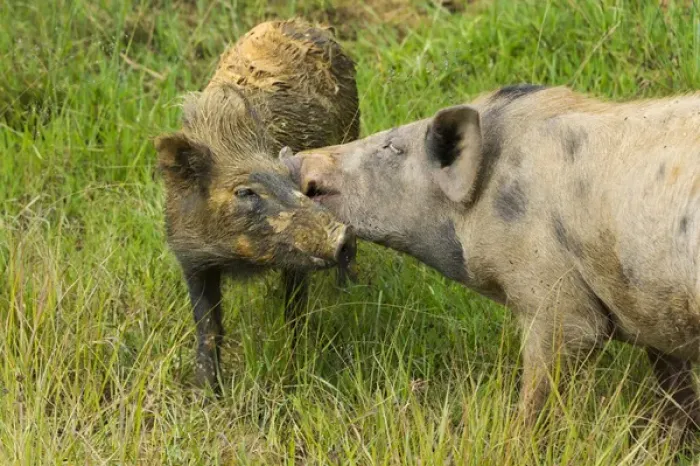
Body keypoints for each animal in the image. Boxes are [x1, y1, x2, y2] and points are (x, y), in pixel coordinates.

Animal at [154, 19, 360, 393]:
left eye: (291, 178)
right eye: (244, 192)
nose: (343, 235)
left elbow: (294, 312)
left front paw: (294, 371)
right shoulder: (191, 258)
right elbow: (208, 328)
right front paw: (205, 393)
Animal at [288, 84, 700, 438]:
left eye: (391, 148)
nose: (297, 158)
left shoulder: (550, 291)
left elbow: (543, 385)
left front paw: (516, 441)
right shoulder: (647, 304)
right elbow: (673, 384)